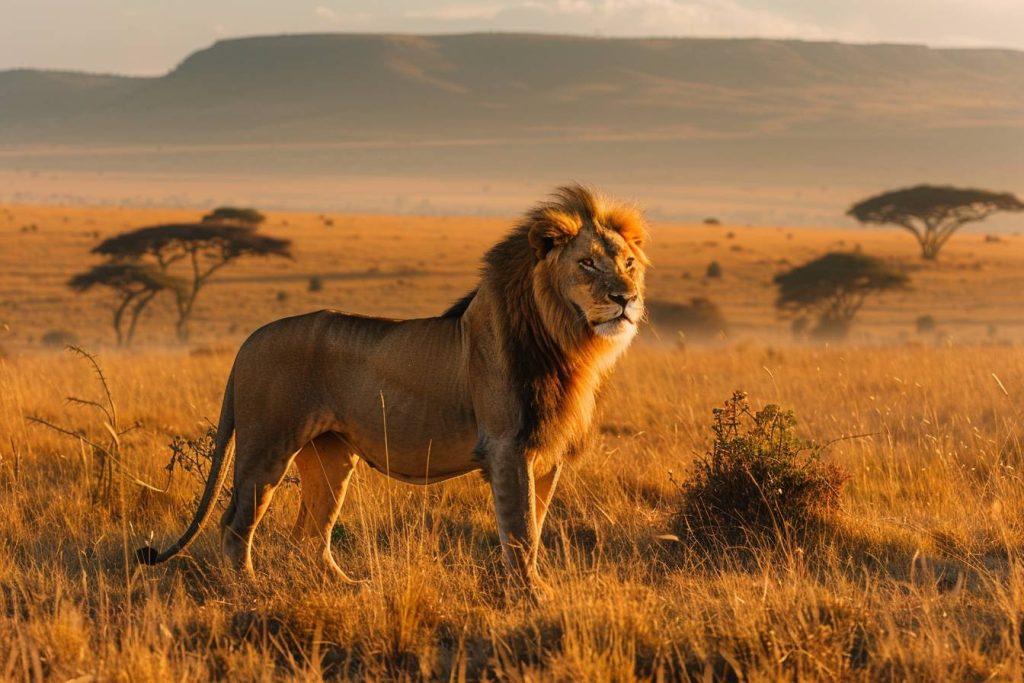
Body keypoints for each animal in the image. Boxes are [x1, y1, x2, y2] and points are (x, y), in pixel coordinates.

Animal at [138, 184, 649, 590]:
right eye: (586, 263)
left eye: (628, 263)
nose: (626, 298)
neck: (566, 341)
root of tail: (250, 340)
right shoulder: (508, 448)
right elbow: (520, 533)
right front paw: (532, 597)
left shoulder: (547, 455)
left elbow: (536, 530)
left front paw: (533, 589)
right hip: (266, 445)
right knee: (236, 523)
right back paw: (250, 588)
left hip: (330, 456)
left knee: (310, 536)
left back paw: (350, 588)